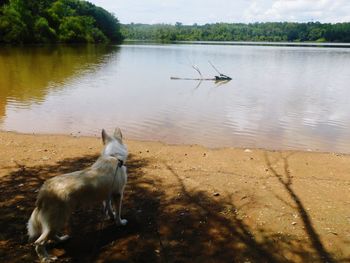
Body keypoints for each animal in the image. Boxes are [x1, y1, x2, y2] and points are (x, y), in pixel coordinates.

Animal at [27, 128, 129, 262]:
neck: (113, 157)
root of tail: (43, 191)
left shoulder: (107, 195)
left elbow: (109, 207)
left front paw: (110, 216)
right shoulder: (118, 194)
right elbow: (118, 212)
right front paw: (120, 222)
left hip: (56, 220)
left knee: (51, 236)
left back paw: (62, 239)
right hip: (58, 219)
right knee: (39, 243)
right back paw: (46, 258)